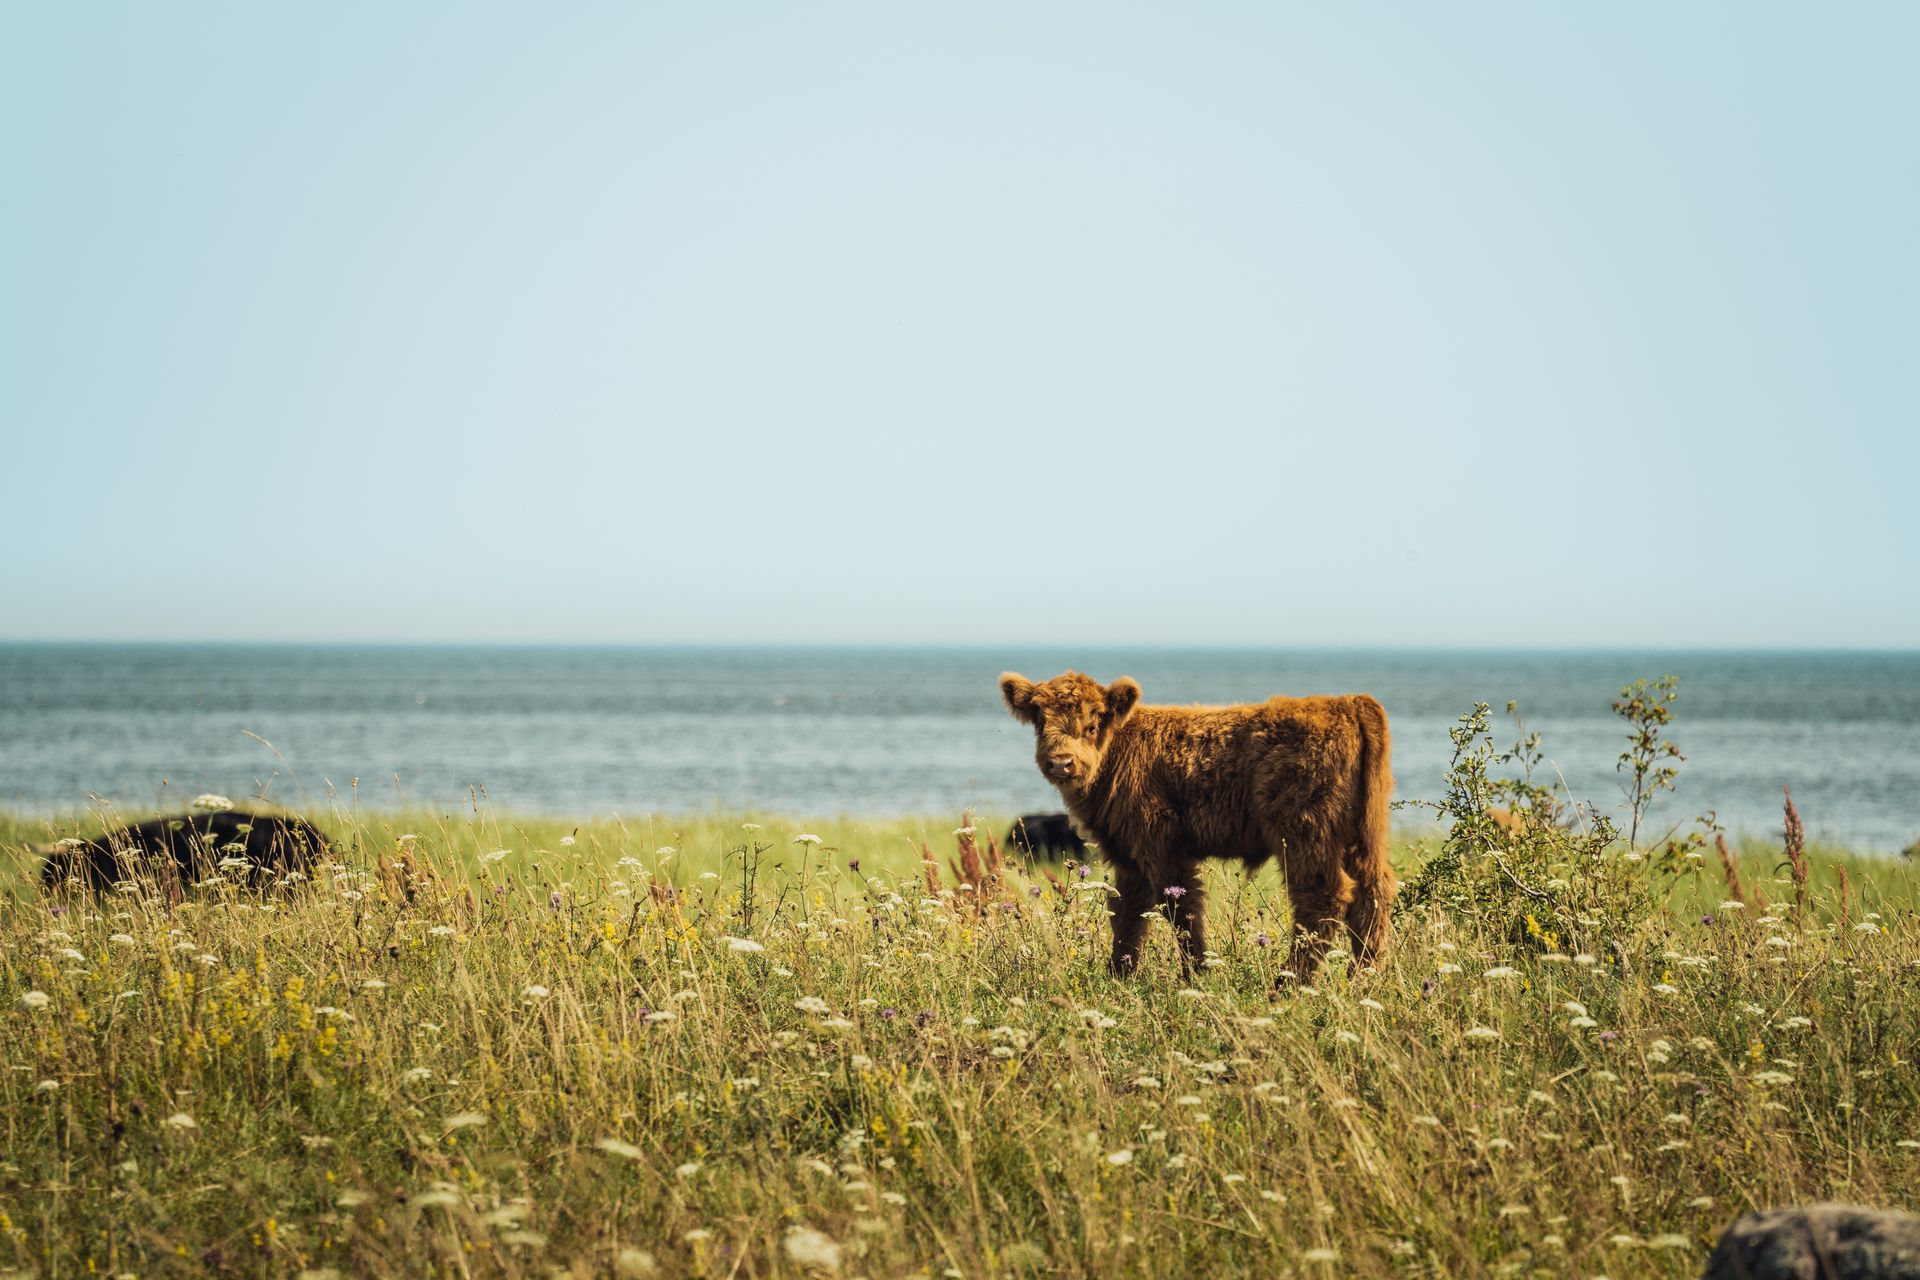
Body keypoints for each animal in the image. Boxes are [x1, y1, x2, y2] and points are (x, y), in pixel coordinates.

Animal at [1006, 675, 1397, 990]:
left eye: (1091, 725)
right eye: (1040, 722)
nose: (1061, 762)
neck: (1119, 749)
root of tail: (1346, 702)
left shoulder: (1161, 846)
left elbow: (1181, 908)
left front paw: (1196, 976)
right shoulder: (1129, 855)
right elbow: (1127, 914)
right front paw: (1119, 976)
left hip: (1306, 833)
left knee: (1323, 897)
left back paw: (1288, 985)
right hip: (1364, 836)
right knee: (1373, 893)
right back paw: (1363, 982)